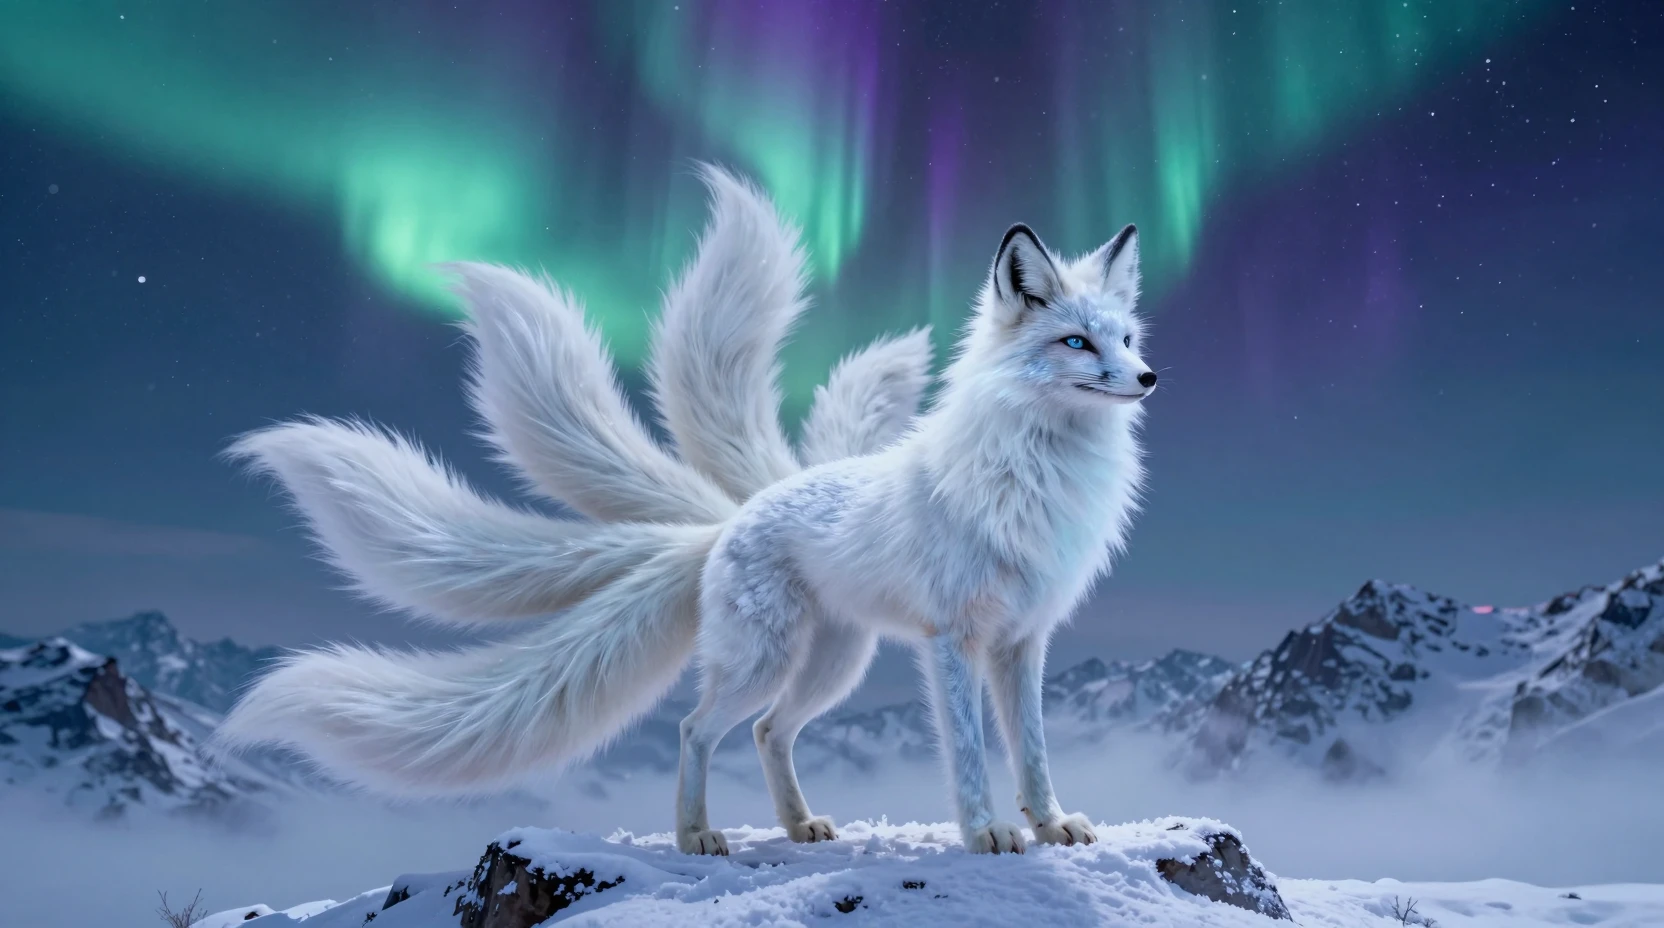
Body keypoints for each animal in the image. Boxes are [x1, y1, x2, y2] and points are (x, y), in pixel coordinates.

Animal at [214, 165, 1154, 857]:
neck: (1037, 472)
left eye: (1126, 339)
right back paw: (696, 835)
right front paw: (987, 832)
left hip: (831, 665)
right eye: (1075, 343)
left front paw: (1051, 824)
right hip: (767, 662)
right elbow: (968, 750)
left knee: (768, 732)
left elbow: (1033, 749)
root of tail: (730, 516)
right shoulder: (954, 639)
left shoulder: (1022, 640)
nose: (1148, 378)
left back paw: (797, 826)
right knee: (696, 728)